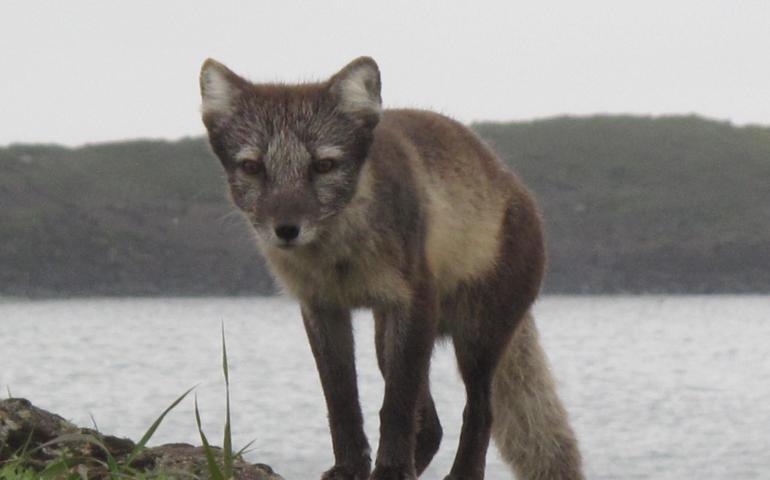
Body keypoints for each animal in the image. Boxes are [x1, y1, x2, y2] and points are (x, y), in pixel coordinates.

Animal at [199, 57, 583, 480]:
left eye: (324, 165)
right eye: (252, 167)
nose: (286, 229)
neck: (340, 259)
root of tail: (515, 184)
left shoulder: (413, 304)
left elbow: (396, 406)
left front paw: (391, 471)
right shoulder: (322, 310)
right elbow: (342, 402)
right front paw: (351, 468)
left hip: (475, 339)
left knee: (480, 412)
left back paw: (460, 473)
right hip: (389, 339)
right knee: (432, 427)